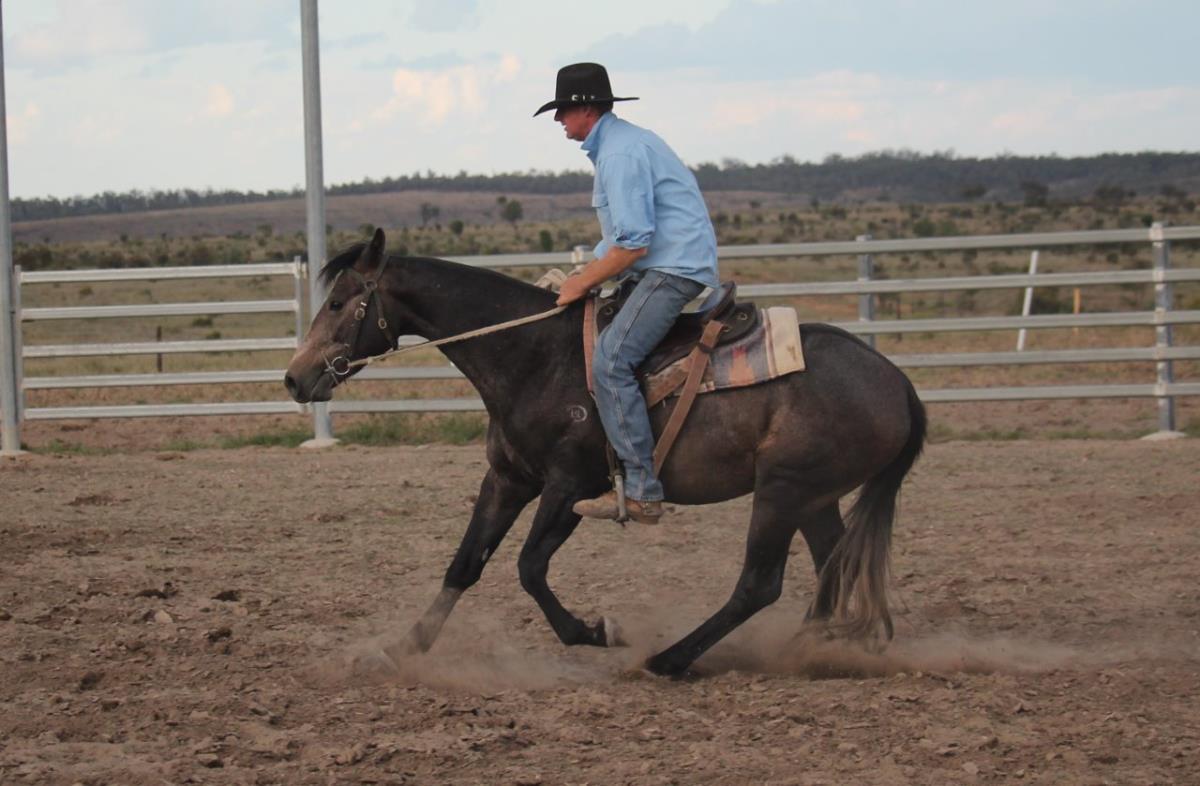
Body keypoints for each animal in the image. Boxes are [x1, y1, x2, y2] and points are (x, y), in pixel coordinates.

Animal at [284, 228, 926, 677]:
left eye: (339, 302)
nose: (294, 378)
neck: (538, 355)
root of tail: (898, 382)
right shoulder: (508, 479)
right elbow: (466, 564)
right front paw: (399, 650)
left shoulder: (571, 485)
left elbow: (529, 568)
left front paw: (599, 631)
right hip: (813, 497)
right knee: (831, 568)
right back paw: (810, 650)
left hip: (783, 491)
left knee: (759, 584)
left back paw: (669, 659)